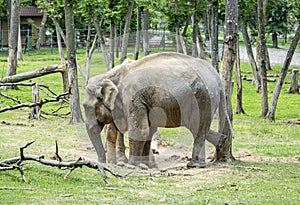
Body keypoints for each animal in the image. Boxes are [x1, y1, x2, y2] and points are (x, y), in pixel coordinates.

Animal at [83, 52, 233, 168]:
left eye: (88, 107)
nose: (101, 163)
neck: (111, 75)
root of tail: (217, 77)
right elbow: (148, 130)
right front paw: (145, 165)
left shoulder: (133, 98)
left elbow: (140, 130)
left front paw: (132, 166)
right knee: (198, 128)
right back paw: (220, 143)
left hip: (202, 99)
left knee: (198, 127)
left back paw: (195, 164)